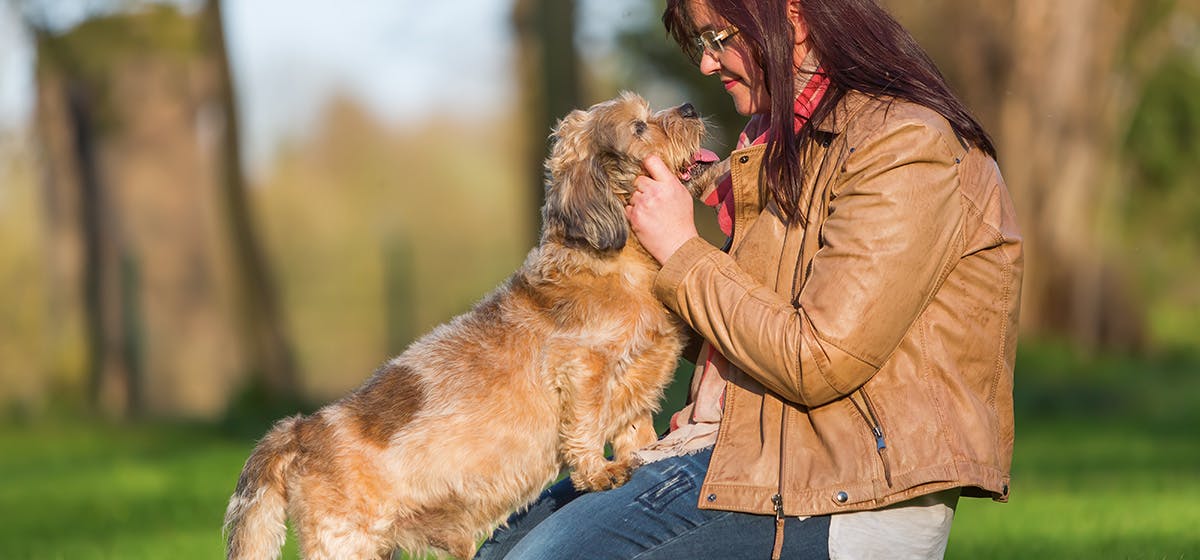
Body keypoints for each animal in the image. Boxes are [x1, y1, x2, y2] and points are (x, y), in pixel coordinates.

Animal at [225, 92, 720, 560]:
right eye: (639, 126)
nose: (691, 107)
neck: (620, 264)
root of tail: (301, 430)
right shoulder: (584, 368)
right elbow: (586, 425)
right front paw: (599, 473)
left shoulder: (638, 380)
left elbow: (633, 429)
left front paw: (647, 454)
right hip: (347, 543)